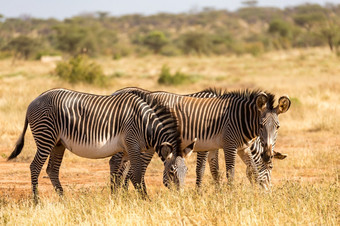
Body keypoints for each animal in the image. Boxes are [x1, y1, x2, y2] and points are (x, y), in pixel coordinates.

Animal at [6, 88, 195, 201]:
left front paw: (117, 199)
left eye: (187, 171)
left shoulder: (125, 150)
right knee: (35, 167)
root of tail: (35, 99)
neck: (145, 123)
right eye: (171, 172)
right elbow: (136, 175)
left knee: (52, 169)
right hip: (46, 137)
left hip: (58, 143)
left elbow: (120, 175)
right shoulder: (133, 145)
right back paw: (36, 200)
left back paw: (63, 199)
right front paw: (145, 200)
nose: (181, 198)